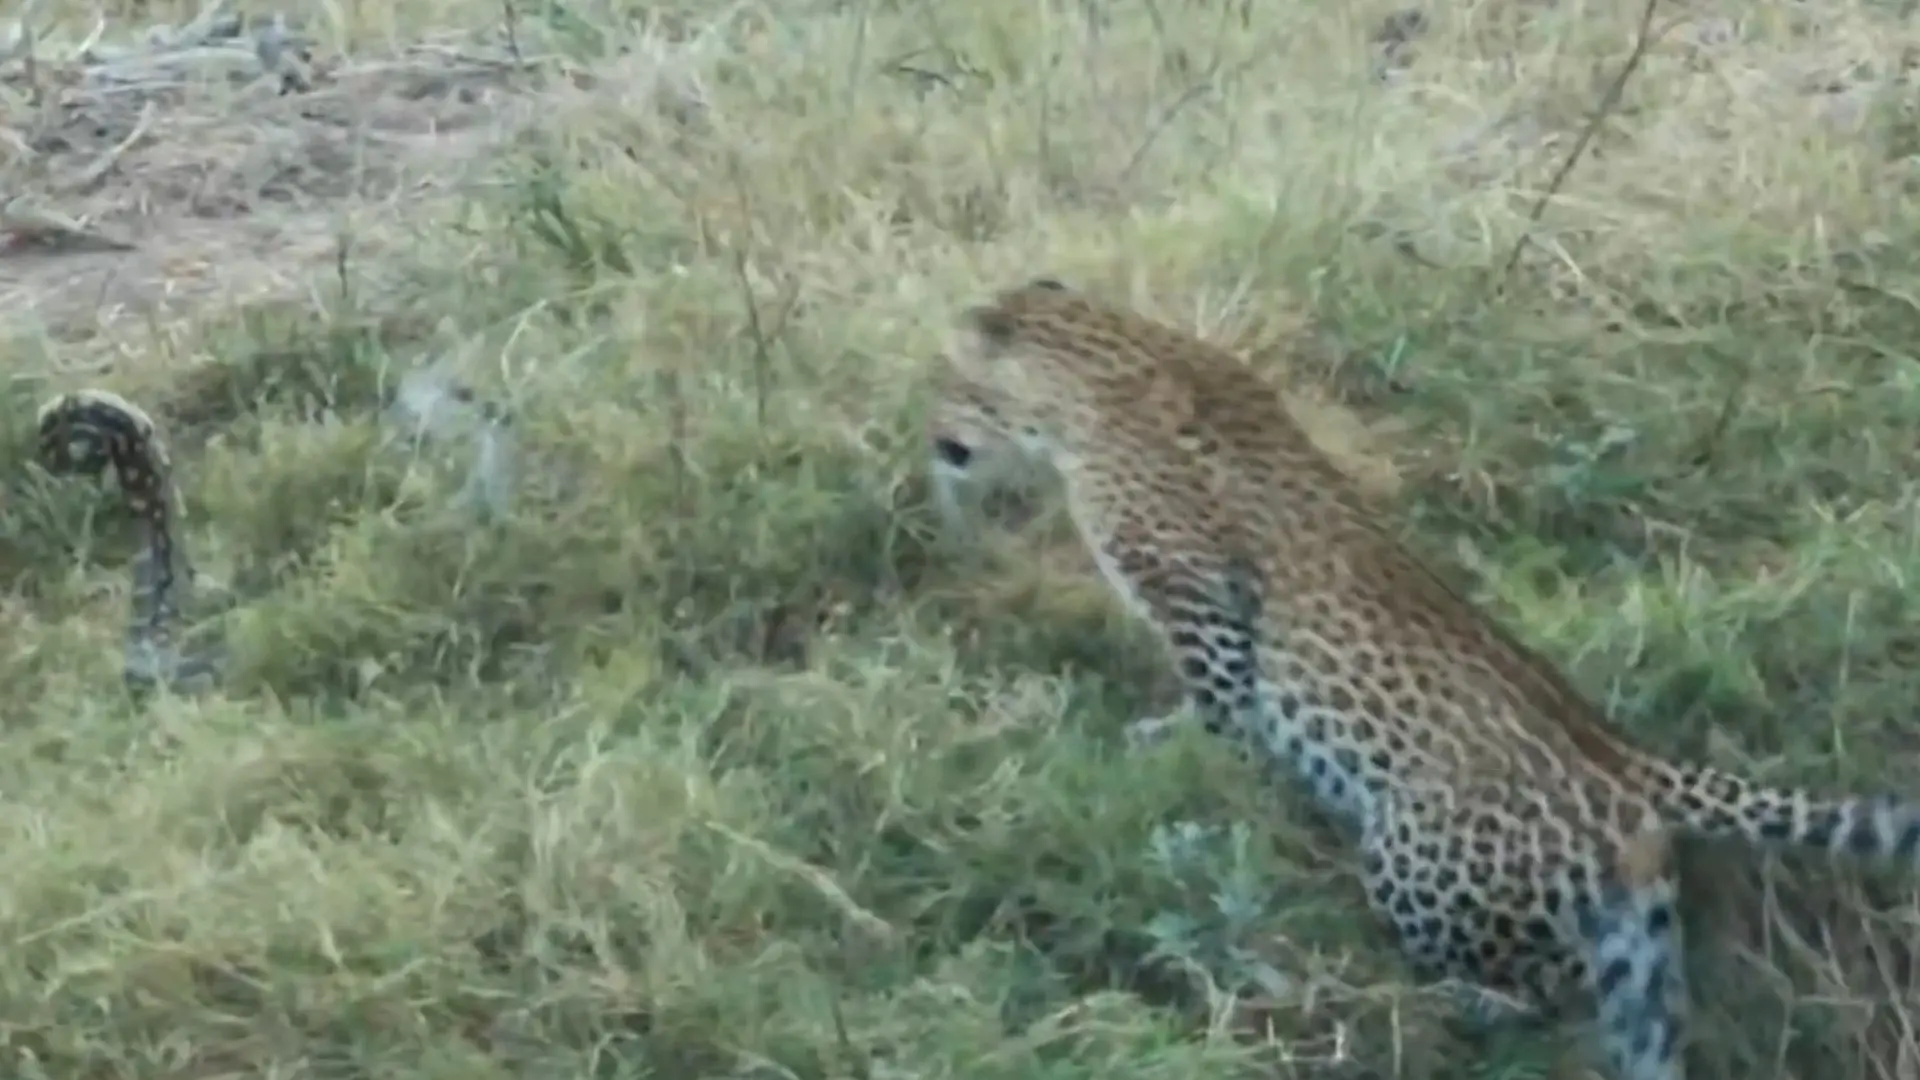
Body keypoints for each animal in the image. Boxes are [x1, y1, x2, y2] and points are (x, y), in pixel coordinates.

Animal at [922, 277, 1920, 1080]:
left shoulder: (1207, 609)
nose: (930, 442)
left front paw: (1153, 751)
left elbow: (1216, 711)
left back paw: (1458, 1002)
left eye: (946, 384)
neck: (1099, 361)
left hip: (1415, 854)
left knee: (1545, 986)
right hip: (1638, 946)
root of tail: (1627, 765)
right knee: (1632, 1021)